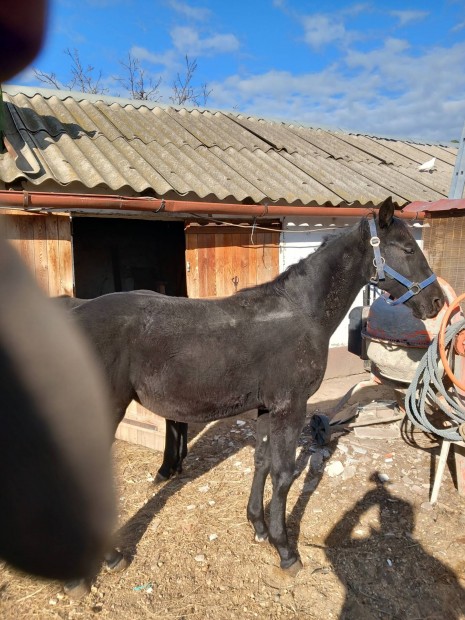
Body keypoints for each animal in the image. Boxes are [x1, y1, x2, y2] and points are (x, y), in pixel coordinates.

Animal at [70, 199, 442, 576]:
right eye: (409, 249)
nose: (437, 302)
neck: (302, 313)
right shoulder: (290, 407)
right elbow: (283, 474)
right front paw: (286, 550)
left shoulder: (267, 407)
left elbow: (262, 461)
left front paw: (259, 527)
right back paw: (111, 558)